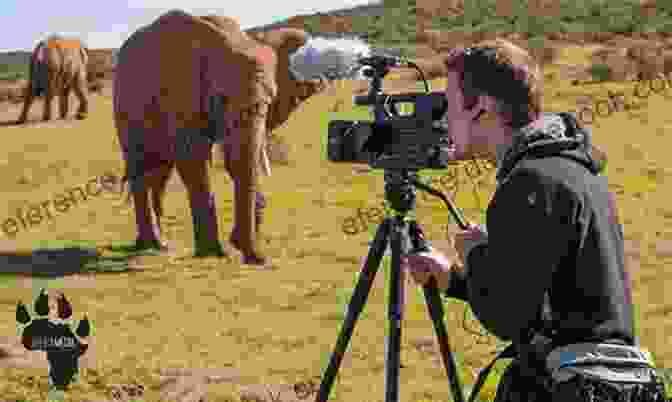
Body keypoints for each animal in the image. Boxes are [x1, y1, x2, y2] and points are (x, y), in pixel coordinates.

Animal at [115, 10, 330, 264]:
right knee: (140, 165)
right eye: (221, 99)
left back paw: (159, 244)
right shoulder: (179, 93)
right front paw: (213, 253)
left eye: (270, 100)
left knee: (160, 172)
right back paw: (151, 243)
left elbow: (239, 160)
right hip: (124, 105)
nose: (259, 258)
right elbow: (194, 159)